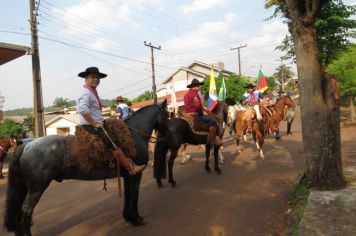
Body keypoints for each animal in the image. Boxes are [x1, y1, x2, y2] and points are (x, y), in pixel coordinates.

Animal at [2, 100, 170, 235]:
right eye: (167, 113)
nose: (167, 133)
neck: (133, 135)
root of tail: (26, 145)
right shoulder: (135, 174)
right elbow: (134, 196)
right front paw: (136, 219)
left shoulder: (127, 176)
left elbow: (128, 195)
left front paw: (128, 217)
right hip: (36, 189)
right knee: (25, 212)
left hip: (26, 188)